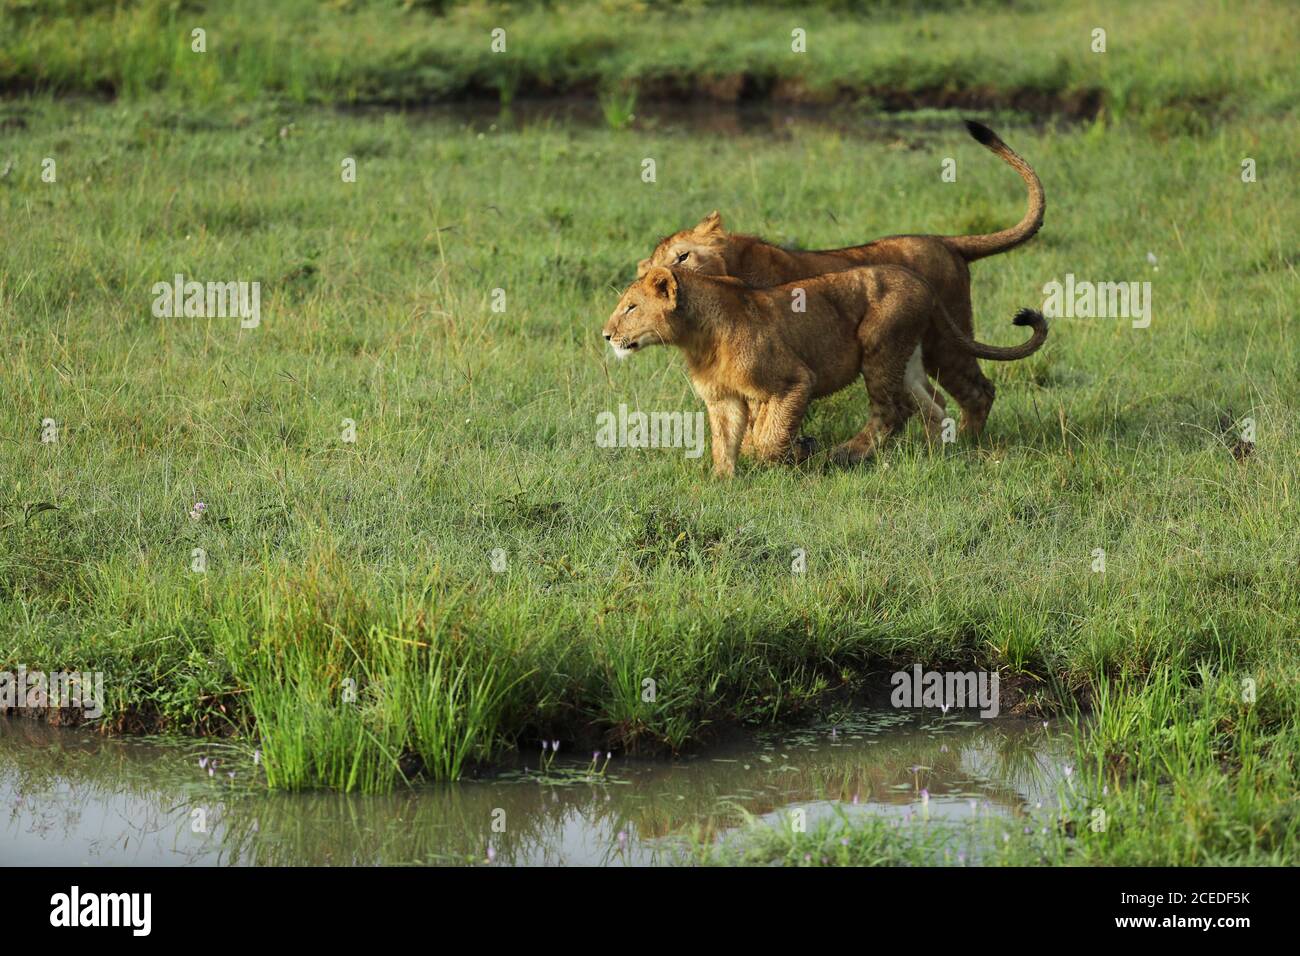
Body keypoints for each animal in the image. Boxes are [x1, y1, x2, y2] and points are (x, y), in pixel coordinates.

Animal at [603, 264, 1046, 477]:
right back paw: (937, 454)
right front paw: (722, 482)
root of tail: (919, 280)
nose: (606, 334)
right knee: (932, 405)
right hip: (905, 360)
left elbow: (768, 436)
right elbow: (725, 441)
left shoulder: (795, 380)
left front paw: (794, 453)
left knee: (892, 412)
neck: (697, 338)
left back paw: (842, 455)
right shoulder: (724, 398)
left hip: (878, 346)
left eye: (631, 307)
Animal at [636, 121, 1044, 437]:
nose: (669, 281)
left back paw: (969, 445)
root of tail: (944, 241)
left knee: (979, 391)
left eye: (684, 256)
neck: (734, 266)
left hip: (944, 341)